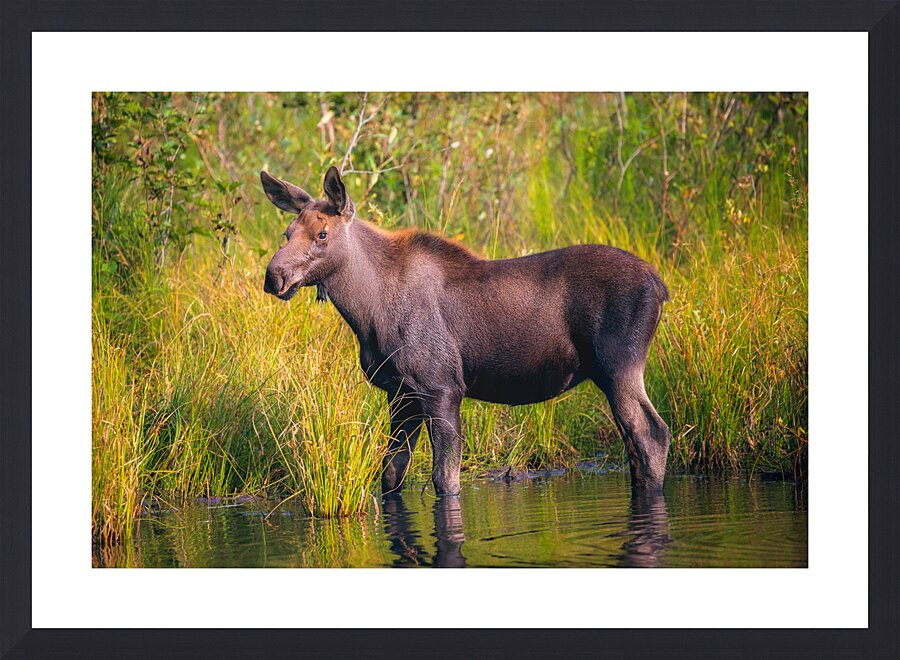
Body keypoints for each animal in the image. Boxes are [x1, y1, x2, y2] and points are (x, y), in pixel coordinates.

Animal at [261, 166, 671, 498]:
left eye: (322, 234)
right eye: (286, 231)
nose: (273, 277)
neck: (367, 312)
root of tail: (660, 285)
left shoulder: (442, 387)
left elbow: (445, 479)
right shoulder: (401, 394)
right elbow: (391, 475)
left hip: (620, 367)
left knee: (653, 435)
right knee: (634, 445)